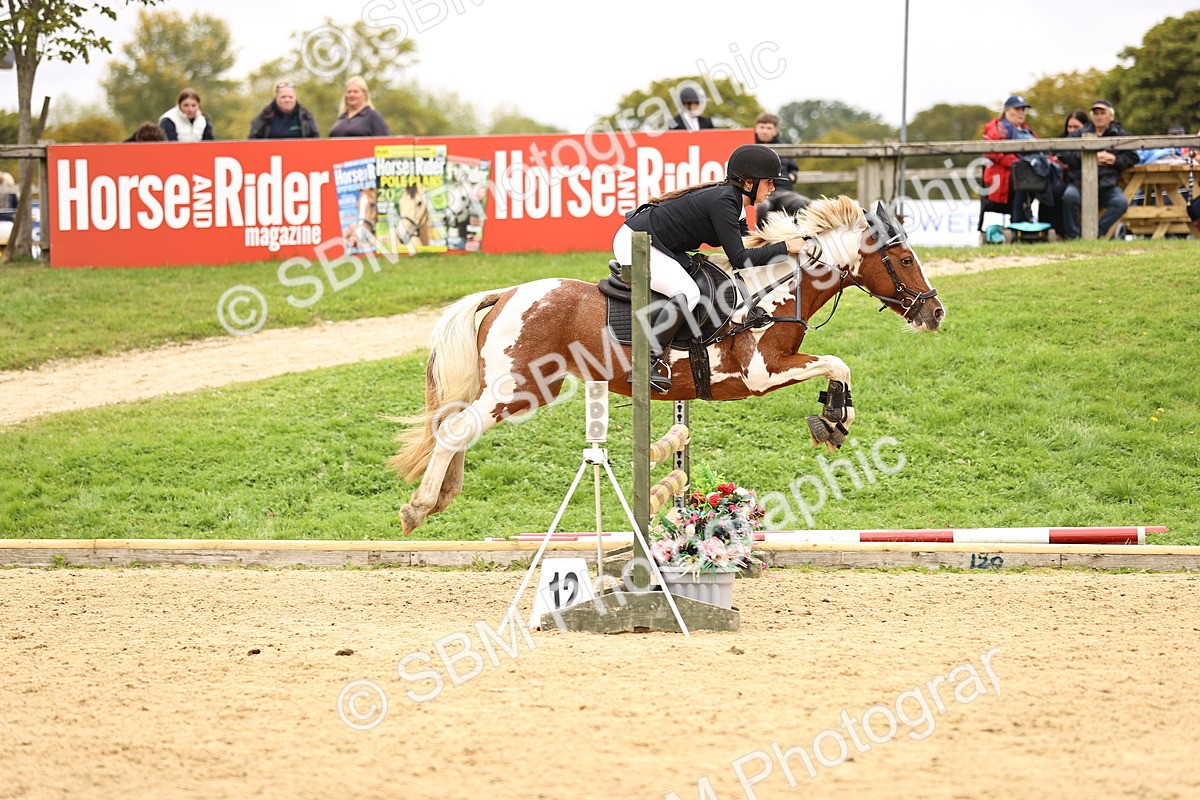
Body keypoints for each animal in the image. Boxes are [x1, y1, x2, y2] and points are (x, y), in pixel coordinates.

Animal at [389, 196, 945, 534]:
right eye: (907, 260)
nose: (935, 312)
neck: (772, 293)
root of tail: (504, 293)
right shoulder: (763, 372)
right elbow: (837, 363)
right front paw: (833, 420)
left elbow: (836, 367)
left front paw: (833, 417)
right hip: (519, 387)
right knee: (458, 427)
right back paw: (419, 507)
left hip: (521, 388)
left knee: (457, 425)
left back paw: (442, 495)